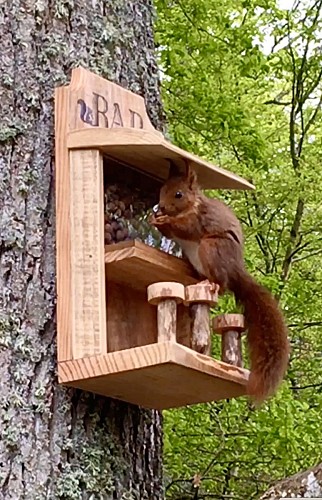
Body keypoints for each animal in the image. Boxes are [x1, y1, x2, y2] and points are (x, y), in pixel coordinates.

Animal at [150, 167, 290, 402]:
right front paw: (156, 219)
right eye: (160, 189)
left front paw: (164, 221)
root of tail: (236, 271)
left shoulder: (199, 219)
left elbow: (185, 228)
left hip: (211, 247)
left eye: (178, 194)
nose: (160, 207)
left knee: (222, 283)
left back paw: (212, 283)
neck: (192, 205)